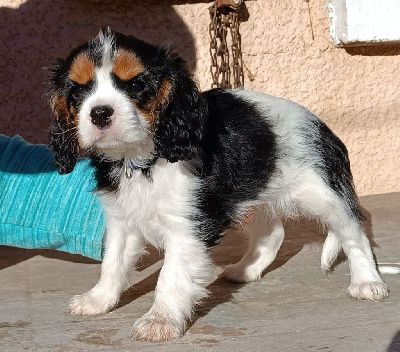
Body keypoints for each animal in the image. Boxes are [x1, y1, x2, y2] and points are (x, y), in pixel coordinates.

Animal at [47, 28, 388, 342]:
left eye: (135, 85)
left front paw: (159, 320)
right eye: (77, 92)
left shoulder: (187, 227)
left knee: (354, 233)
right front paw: (98, 300)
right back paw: (245, 270)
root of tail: (322, 126)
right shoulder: (121, 220)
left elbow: (170, 277)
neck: (141, 160)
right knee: (273, 233)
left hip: (323, 193)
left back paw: (367, 283)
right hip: (250, 194)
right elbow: (113, 263)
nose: (99, 113)